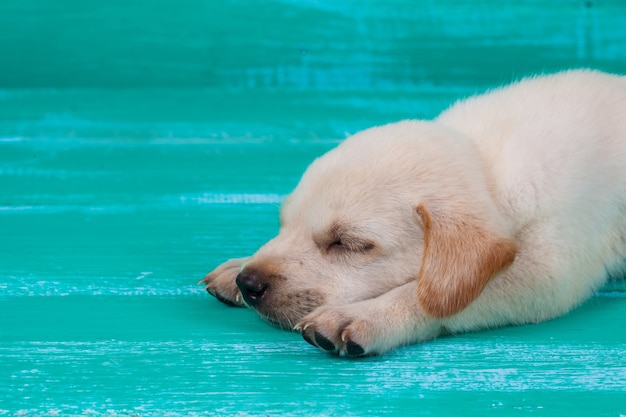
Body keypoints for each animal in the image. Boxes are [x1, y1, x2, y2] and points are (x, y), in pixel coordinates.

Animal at [200, 70, 624, 356]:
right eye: (284, 224)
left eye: (347, 244)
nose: (248, 284)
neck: (486, 167)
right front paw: (236, 266)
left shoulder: (548, 270)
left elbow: (432, 294)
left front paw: (364, 315)